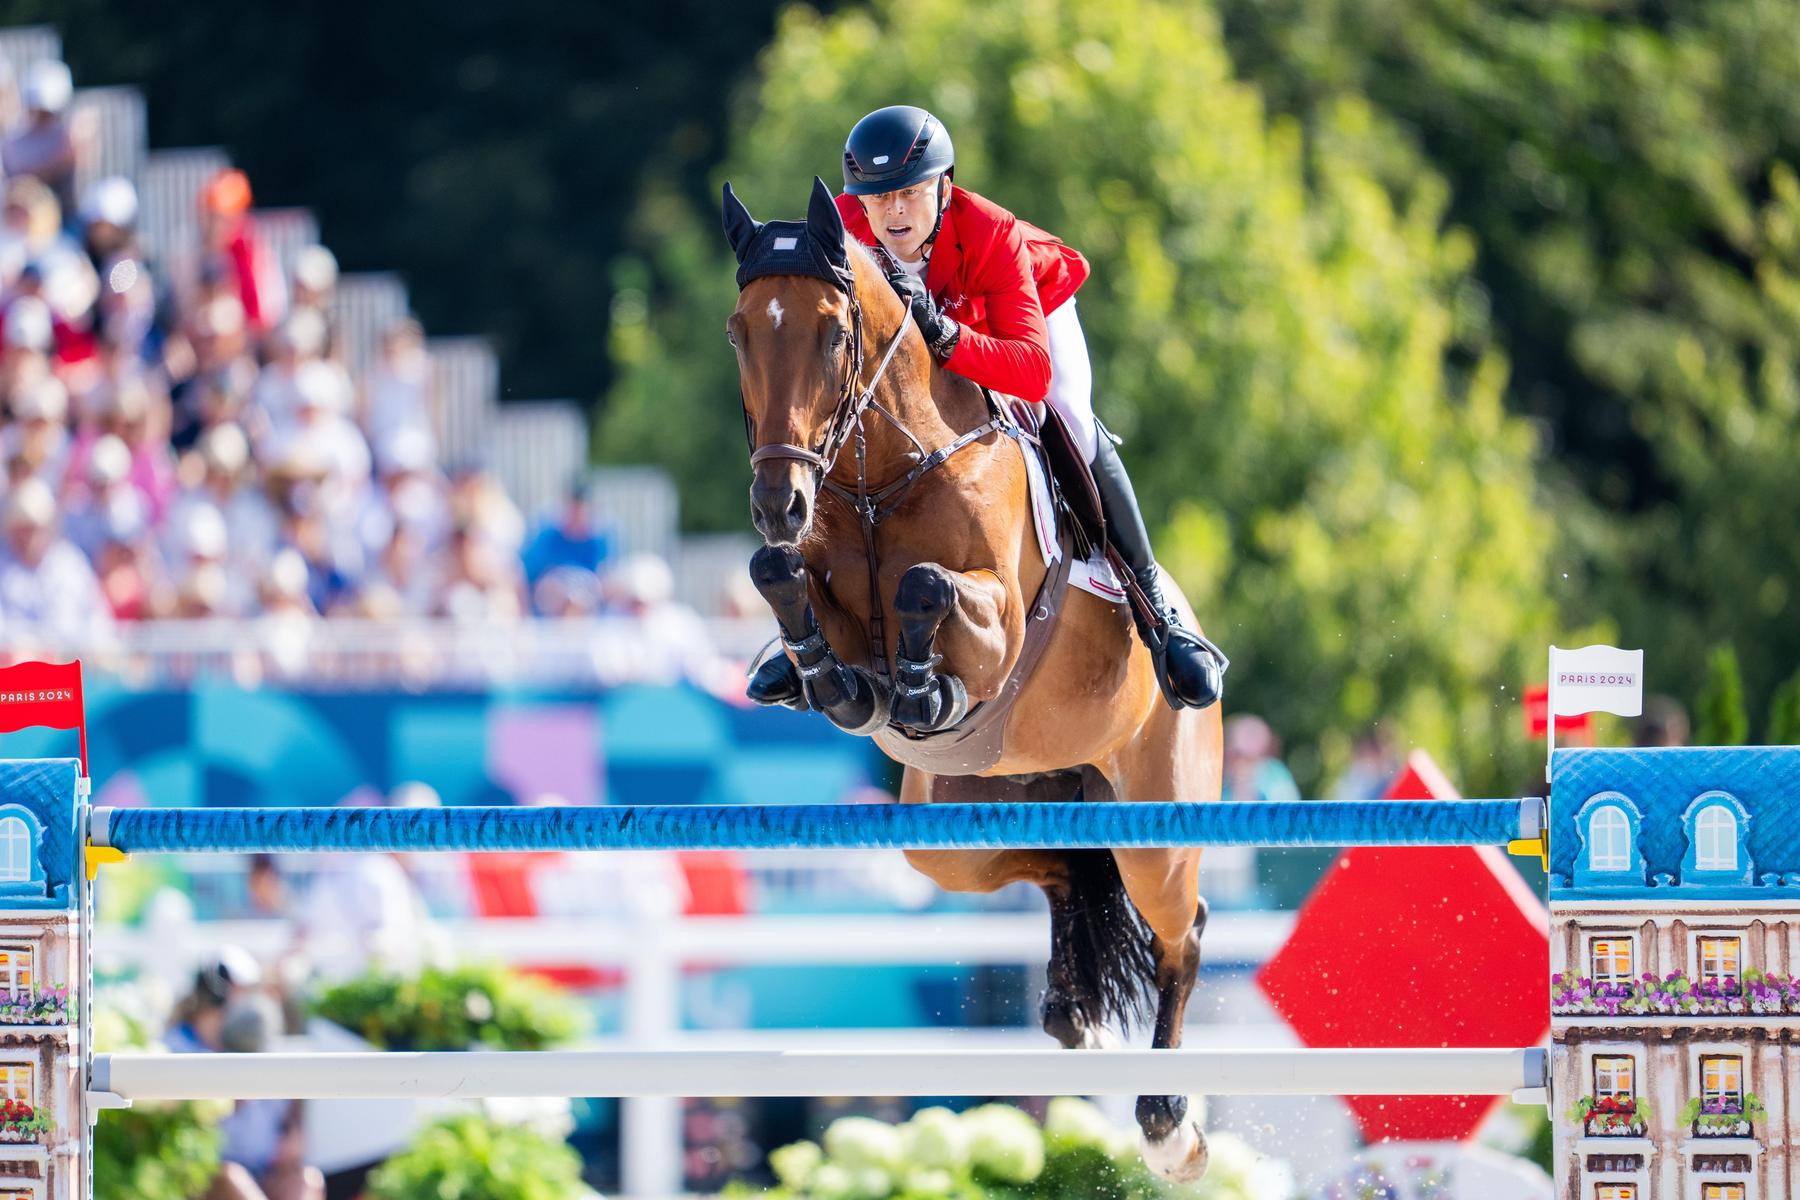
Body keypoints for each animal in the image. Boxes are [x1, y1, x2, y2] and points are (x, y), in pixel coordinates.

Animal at [723, 178, 1231, 1180]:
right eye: (739, 333)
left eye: (832, 335)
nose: (777, 503)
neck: (878, 473)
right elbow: (782, 581)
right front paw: (841, 682)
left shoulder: (996, 618)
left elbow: (926, 586)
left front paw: (923, 689)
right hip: (959, 827)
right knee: (1065, 868)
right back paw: (1074, 1019)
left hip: (1157, 818)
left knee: (1180, 930)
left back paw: (1168, 1127)